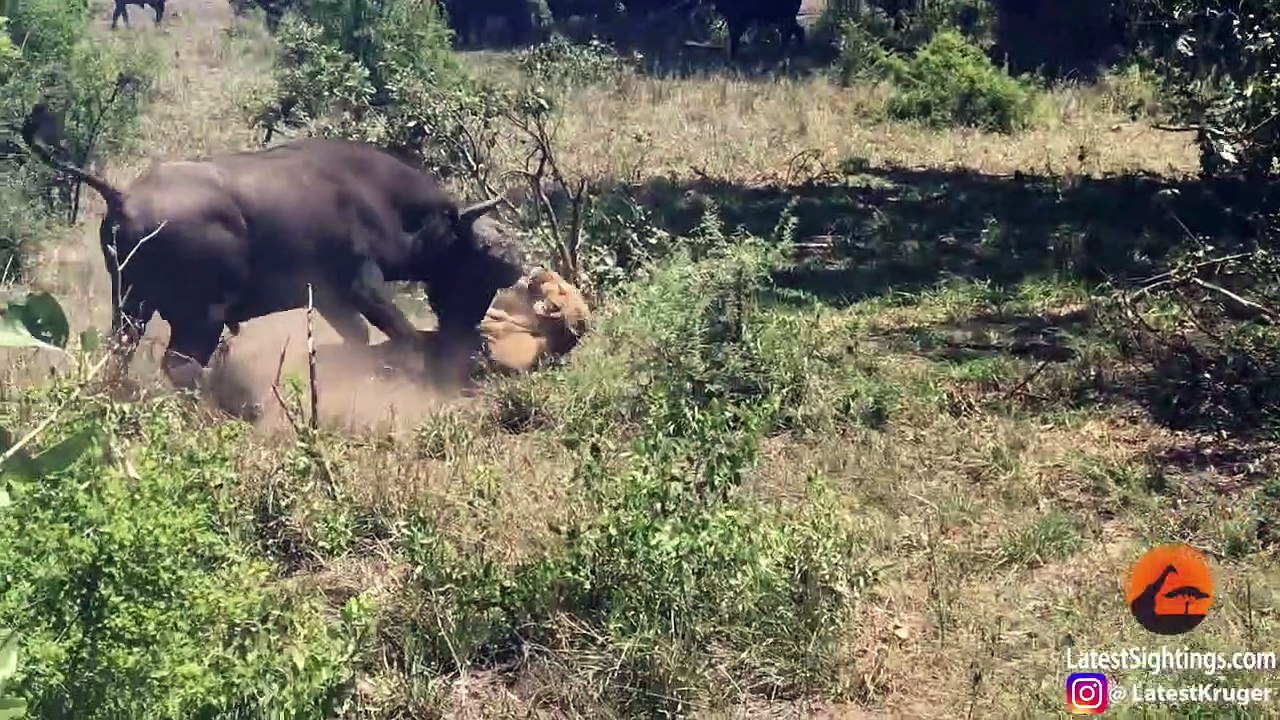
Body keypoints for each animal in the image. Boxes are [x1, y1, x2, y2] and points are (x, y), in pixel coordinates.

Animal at [21, 106, 526, 416]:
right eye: (479, 260)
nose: (516, 262)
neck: (378, 197)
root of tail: (123, 196)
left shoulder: (332, 300)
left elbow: (359, 340)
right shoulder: (363, 285)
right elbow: (402, 334)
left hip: (130, 308)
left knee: (120, 354)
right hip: (200, 319)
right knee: (180, 366)